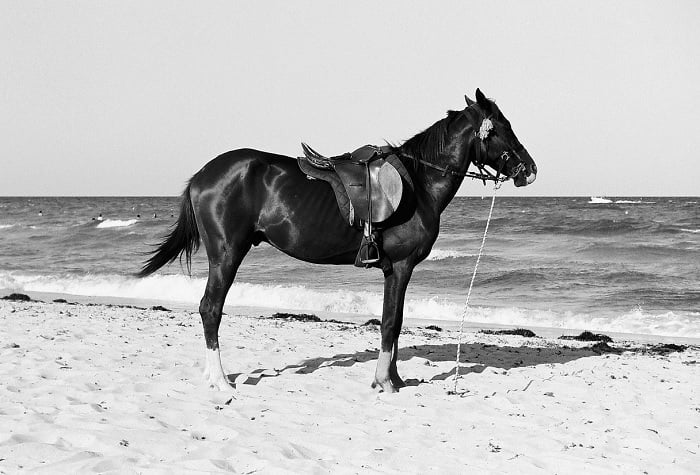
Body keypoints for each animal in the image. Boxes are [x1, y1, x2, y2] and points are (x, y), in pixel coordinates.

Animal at [138, 89, 537, 393]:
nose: (530, 170)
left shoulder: (394, 271)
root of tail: (202, 175)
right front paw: (384, 382)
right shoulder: (401, 266)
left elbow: (395, 320)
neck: (419, 183)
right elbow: (390, 323)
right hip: (226, 254)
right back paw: (220, 380)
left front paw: (395, 378)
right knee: (210, 309)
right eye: (502, 127)